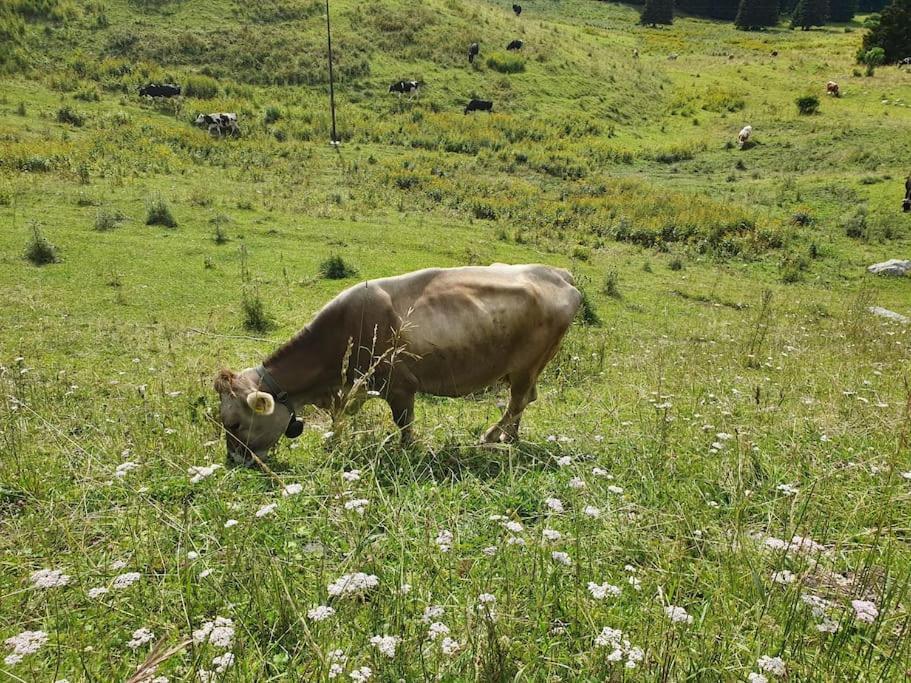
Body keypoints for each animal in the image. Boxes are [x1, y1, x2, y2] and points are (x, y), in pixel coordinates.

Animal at [215, 264, 584, 462]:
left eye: (234, 424)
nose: (234, 461)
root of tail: (557, 273)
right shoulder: (357, 386)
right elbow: (344, 415)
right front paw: (333, 438)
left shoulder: (399, 385)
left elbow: (404, 423)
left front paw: (409, 451)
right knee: (524, 401)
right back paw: (510, 438)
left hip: (527, 365)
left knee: (518, 401)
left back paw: (493, 436)